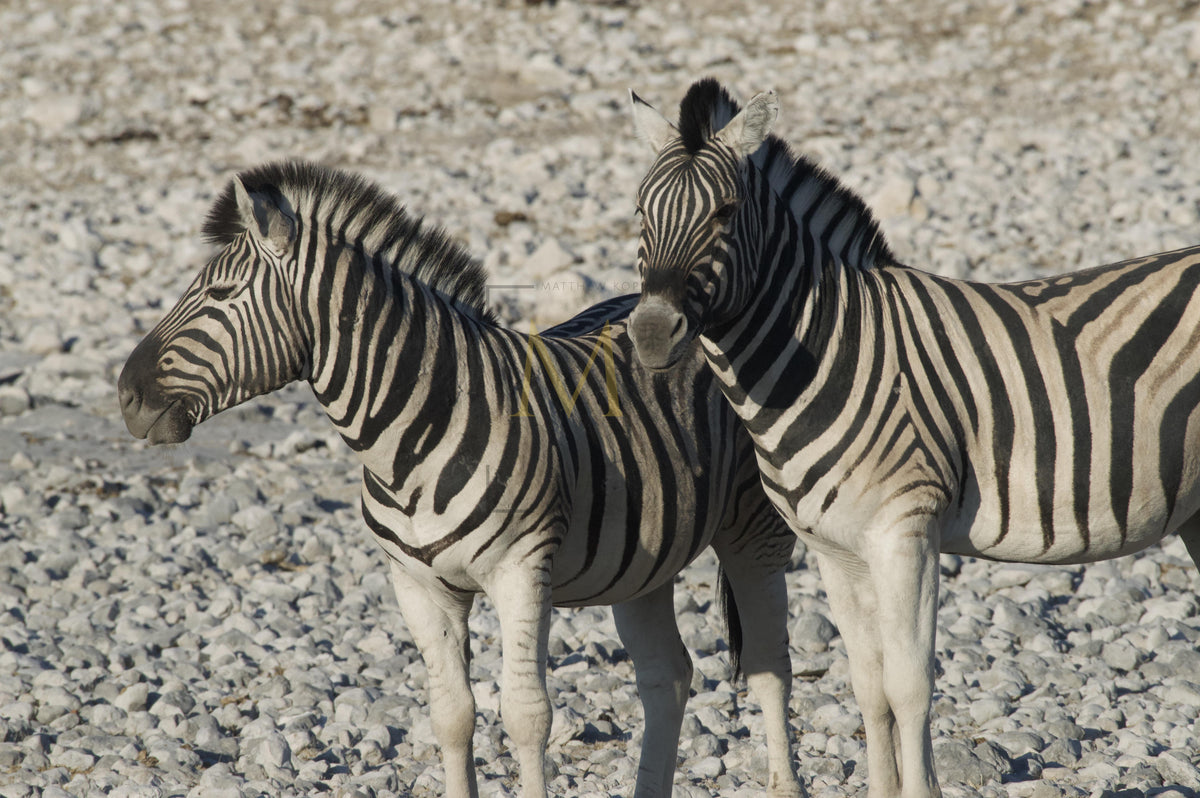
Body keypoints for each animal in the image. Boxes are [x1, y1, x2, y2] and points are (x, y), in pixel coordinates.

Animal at [116, 160, 805, 798]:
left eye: (221, 294)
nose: (126, 394)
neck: (408, 442)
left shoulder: (522, 571)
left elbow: (527, 716)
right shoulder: (418, 586)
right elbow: (452, 716)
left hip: (754, 528)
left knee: (769, 663)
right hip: (642, 560)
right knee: (668, 674)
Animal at [624, 78, 1200, 798]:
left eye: (725, 213)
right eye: (640, 212)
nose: (650, 334)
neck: (829, 351)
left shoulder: (907, 532)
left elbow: (909, 687)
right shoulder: (834, 550)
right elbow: (869, 688)